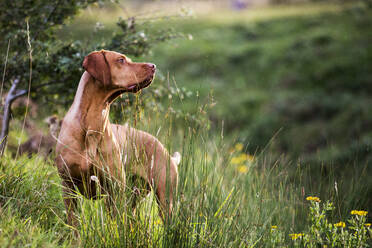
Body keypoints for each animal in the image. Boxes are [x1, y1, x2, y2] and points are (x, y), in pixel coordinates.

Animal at [54, 49, 179, 226]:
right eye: (121, 60)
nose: (153, 66)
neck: (91, 125)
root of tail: (167, 152)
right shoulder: (68, 186)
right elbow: (74, 222)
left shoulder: (114, 189)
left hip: (165, 200)